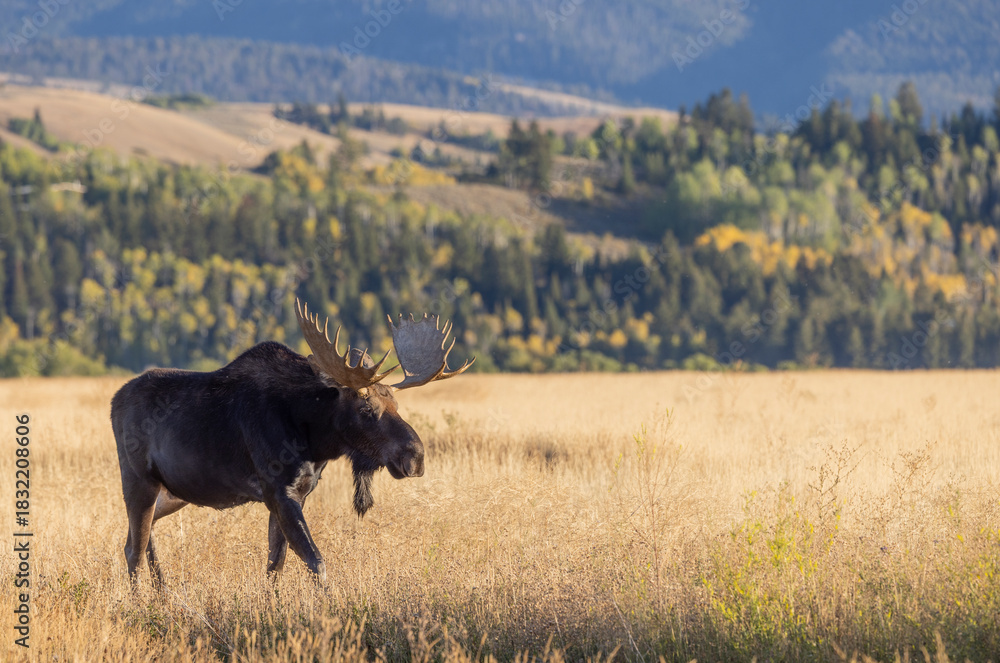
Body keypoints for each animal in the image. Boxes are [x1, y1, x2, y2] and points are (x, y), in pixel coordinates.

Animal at [111, 299, 473, 586]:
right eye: (366, 407)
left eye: (396, 403)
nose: (415, 457)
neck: (313, 440)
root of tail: (115, 401)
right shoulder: (278, 492)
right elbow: (316, 561)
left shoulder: (296, 494)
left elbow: (276, 565)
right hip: (138, 481)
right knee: (133, 549)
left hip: (172, 493)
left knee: (141, 537)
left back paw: (164, 592)